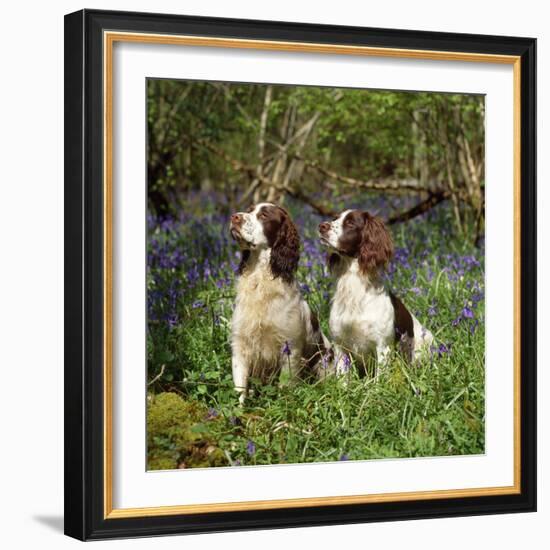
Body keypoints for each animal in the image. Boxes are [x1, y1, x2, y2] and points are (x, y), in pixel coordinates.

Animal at [231, 203, 330, 406]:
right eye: (249, 209)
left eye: (264, 215)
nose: (234, 217)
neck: (260, 281)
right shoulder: (240, 345)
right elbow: (240, 390)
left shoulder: (289, 348)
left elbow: (285, 386)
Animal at [320, 209, 436, 378]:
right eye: (335, 218)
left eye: (350, 223)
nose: (322, 226)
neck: (354, 288)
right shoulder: (340, 346)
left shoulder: (383, 347)